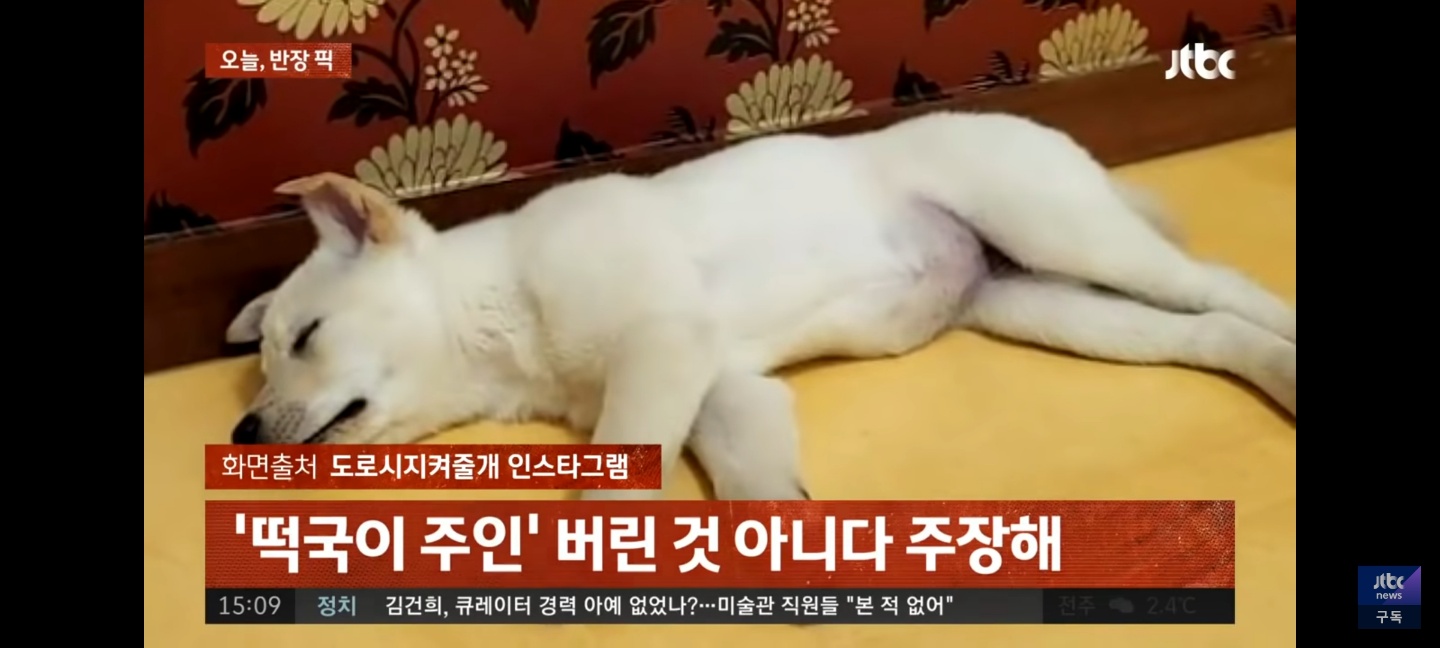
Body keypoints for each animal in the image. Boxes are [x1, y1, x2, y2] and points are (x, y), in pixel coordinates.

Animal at [225, 111, 1296, 501]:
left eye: (307, 337)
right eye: (269, 357)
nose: (239, 434)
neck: (495, 307)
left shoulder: (663, 348)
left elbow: (618, 476)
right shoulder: (724, 392)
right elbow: (753, 482)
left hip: (1061, 232)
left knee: (1227, 288)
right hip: (1048, 305)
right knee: (1211, 331)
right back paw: (1274, 371)